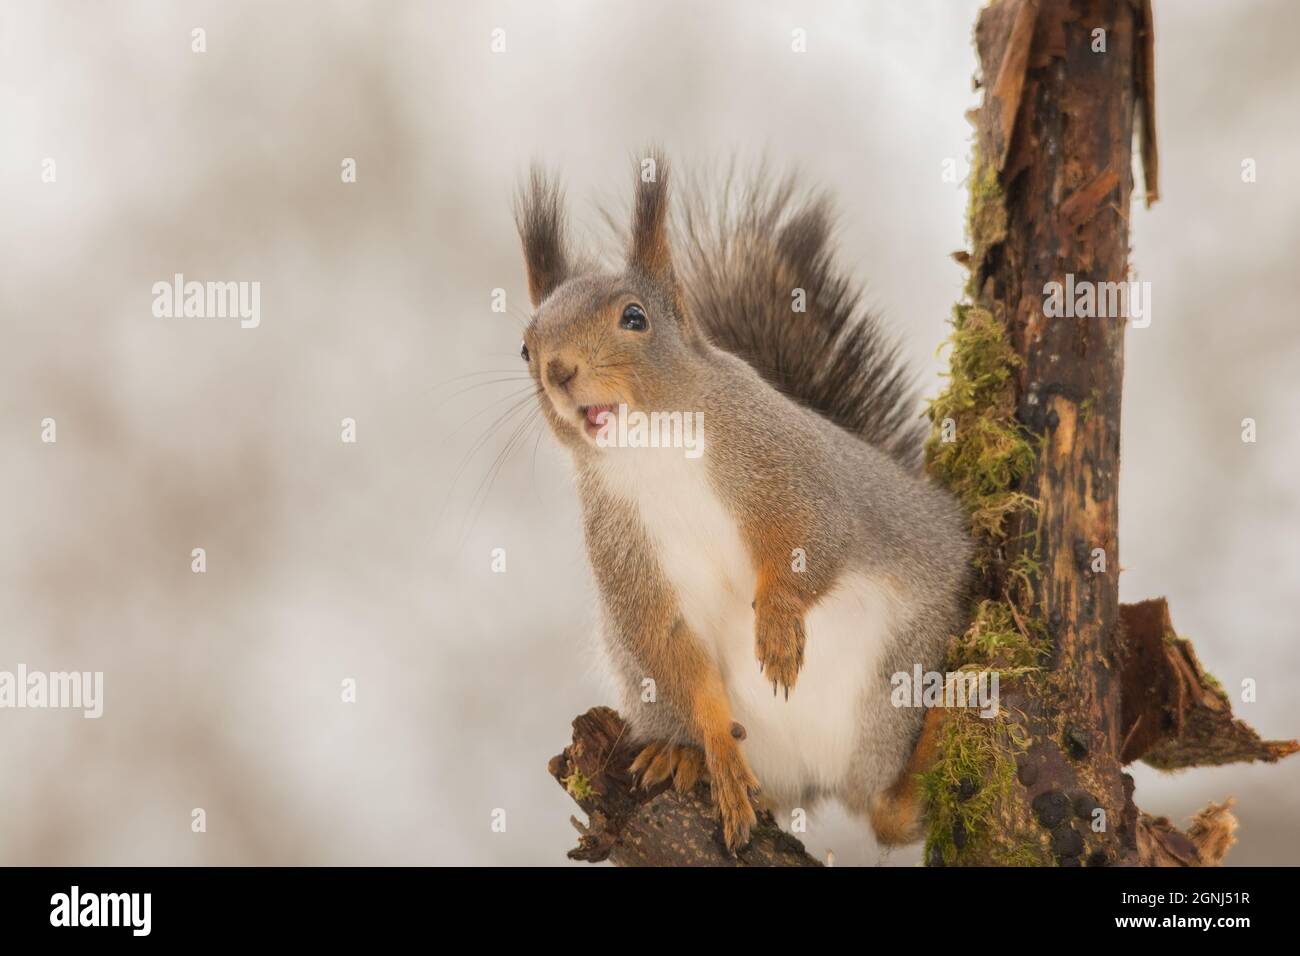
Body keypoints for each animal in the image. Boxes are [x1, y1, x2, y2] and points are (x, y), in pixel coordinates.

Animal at [512, 153, 972, 858]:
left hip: (899, 672)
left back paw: (937, 736)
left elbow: (812, 536)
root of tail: (818, 776)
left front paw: (777, 626)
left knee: (890, 813)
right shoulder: (622, 550)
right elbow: (669, 645)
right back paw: (686, 756)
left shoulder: (785, 465)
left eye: (634, 318)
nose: (558, 371)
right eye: (524, 348)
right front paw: (717, 756)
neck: (652, 450)